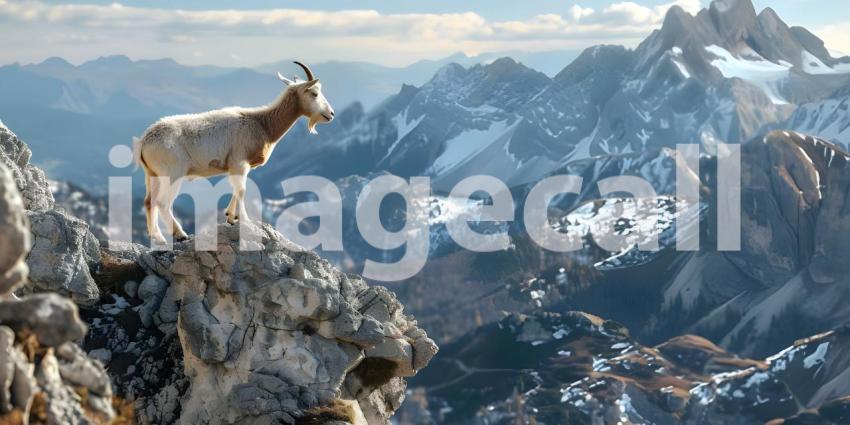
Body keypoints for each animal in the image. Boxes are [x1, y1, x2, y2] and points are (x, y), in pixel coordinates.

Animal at [133, 61, 334, 245]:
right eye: (314, 93)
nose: (331, 114)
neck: (262, 124)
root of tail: (144, 141)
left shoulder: (238, 166)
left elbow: (237, 189)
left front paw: (231, 216)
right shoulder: (239, 162)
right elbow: (242, 190)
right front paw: (244, 220)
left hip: (152, 174)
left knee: (149, 201)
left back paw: (157, 237)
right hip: (172, 173)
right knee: (163, 202)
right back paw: (180, 234)